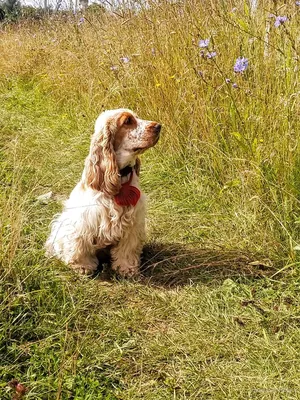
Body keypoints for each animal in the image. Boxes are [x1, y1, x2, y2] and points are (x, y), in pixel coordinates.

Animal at [44, 109, 162, 278]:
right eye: (127, 121)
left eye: (137, 117)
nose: (159, 126)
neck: (120, 175)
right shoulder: (84, 223)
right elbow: (80, 247)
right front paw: (82, 266)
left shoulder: (133, 224)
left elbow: (127, 250)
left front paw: (127, 269)